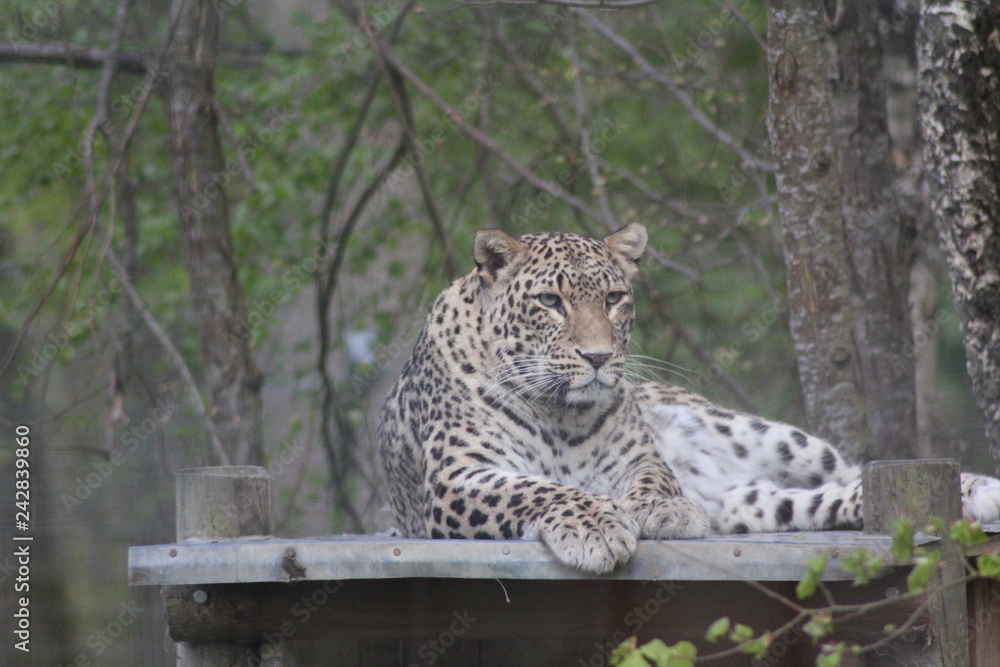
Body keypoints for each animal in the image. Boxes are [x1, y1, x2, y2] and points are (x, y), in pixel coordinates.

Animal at [379, 223, 1000, 574]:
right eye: (551, 302)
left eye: (613, 298)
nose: (598, 357)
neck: (558, 413)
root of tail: (725, 489)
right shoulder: (458, 478)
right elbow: (536, 489)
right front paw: (596, 525)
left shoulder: (637, 456)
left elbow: (654, 477)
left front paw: (664, 509)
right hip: (750, 505)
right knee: (827, 499)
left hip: (774, 438)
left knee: (855, 475)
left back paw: (980, 491)